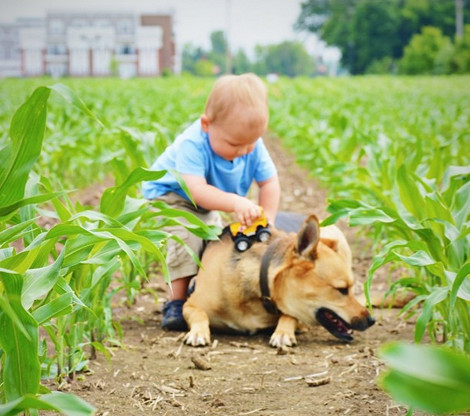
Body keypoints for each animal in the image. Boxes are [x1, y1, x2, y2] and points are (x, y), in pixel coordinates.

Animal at [183, 214, 374, 348]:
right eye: (342, 290)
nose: (372, 320)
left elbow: (289, 316)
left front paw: (283, 332)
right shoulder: (190, 304)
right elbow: (199, 313)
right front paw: (198, 332)